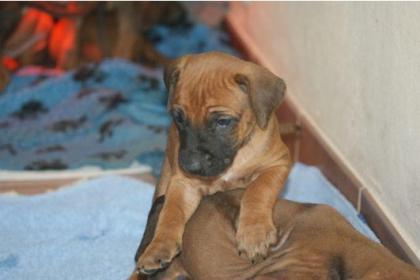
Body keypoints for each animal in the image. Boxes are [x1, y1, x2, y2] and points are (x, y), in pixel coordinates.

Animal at [136, 50, 290, 274]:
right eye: (178, 118)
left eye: (223, 121)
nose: (190, 166)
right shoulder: (184, 184)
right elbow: (170, 213)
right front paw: (159, 246)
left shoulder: (278, 163)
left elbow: (258, 190)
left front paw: (254, 233)